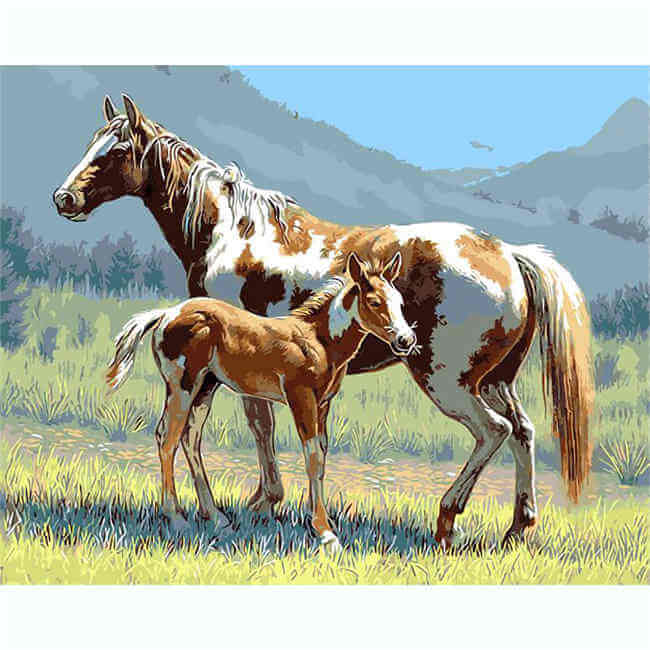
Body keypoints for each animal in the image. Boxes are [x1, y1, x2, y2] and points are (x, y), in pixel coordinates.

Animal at [106, 251, 416, 551]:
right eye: (374, 301)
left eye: (400, 302)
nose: (406, 340)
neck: (319, 340)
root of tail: (166, 314)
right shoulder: (301, 397)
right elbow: (312, 457)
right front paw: (325, 534)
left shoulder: (323, 404)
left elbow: (321, 456)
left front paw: (321, 525)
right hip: (182, 386)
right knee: (167, 438)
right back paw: (176, 518)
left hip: (206, 387)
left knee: (190, 437)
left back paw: (217, 518)